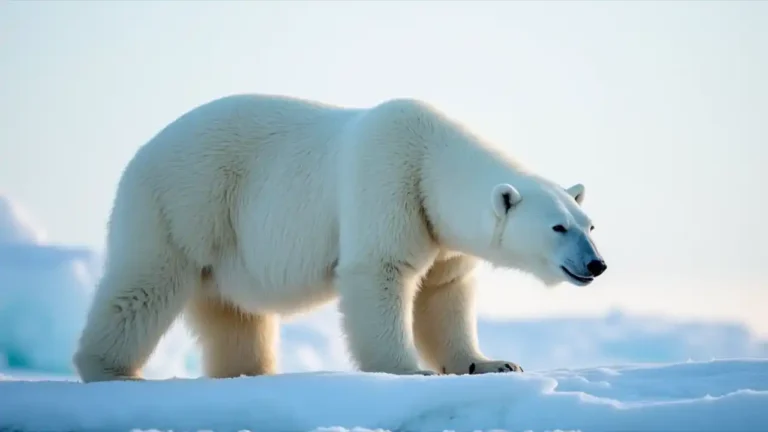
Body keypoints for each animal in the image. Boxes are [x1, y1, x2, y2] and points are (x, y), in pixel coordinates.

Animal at [72, 93, 607, 382]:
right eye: (558, 227)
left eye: (589, 224)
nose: (596, 264)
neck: (430, 155)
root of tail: (140, 154)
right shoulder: (390, 181)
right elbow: (380, 271)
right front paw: (409, 369)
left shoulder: (439, 232)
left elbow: (443, 293)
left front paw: (492, 364)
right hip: (184, 202)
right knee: (143, 284)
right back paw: (112, 369)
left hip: (222, 235)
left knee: (234, 314)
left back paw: (250, 371)